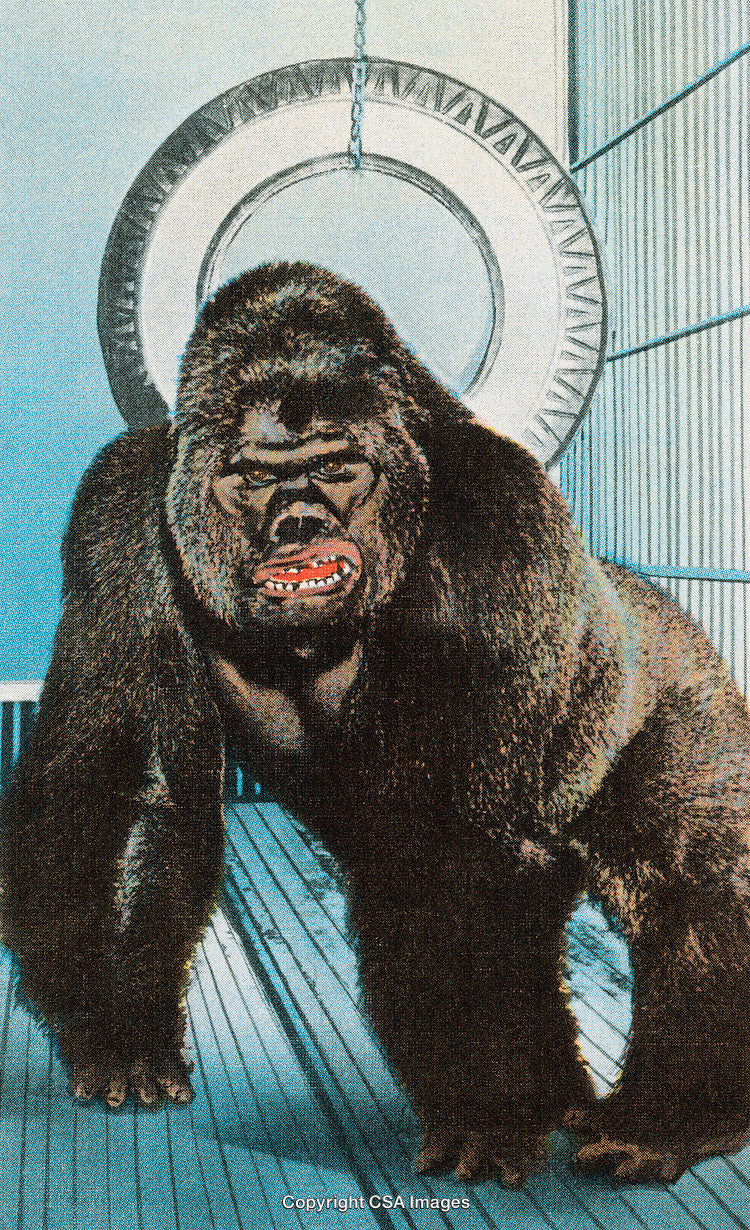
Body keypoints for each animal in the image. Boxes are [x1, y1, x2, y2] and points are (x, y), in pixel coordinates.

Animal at [1, 261, 750, 1188]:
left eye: (334, 467)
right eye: (256, 476)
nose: (300, 524)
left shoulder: (499, 517)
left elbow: (462, 851)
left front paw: (488, 1111)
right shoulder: (123, 506)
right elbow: (135, 784)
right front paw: (116, 1029)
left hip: (684, 688)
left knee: (693, 877)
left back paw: (671, 1117)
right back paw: (569, 1095)